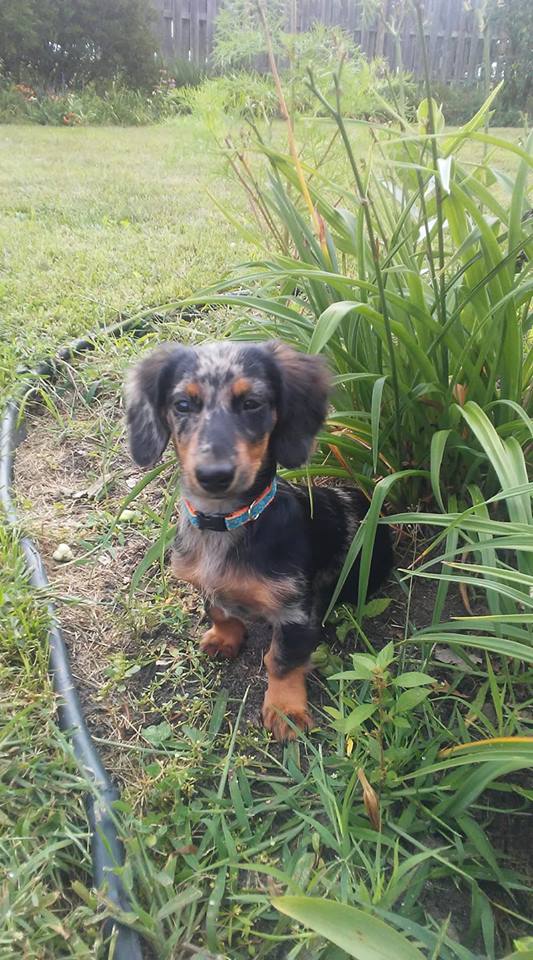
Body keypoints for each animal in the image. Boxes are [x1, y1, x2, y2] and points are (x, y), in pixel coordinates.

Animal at [124, 340, 390, 744]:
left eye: (252, 403)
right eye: (183, 404)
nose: (214, 476)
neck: (223, 524)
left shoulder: (296, 614)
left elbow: (282, 661)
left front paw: (285, 710)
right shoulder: (207, 586)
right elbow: (218, 610)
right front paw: (224, 638)